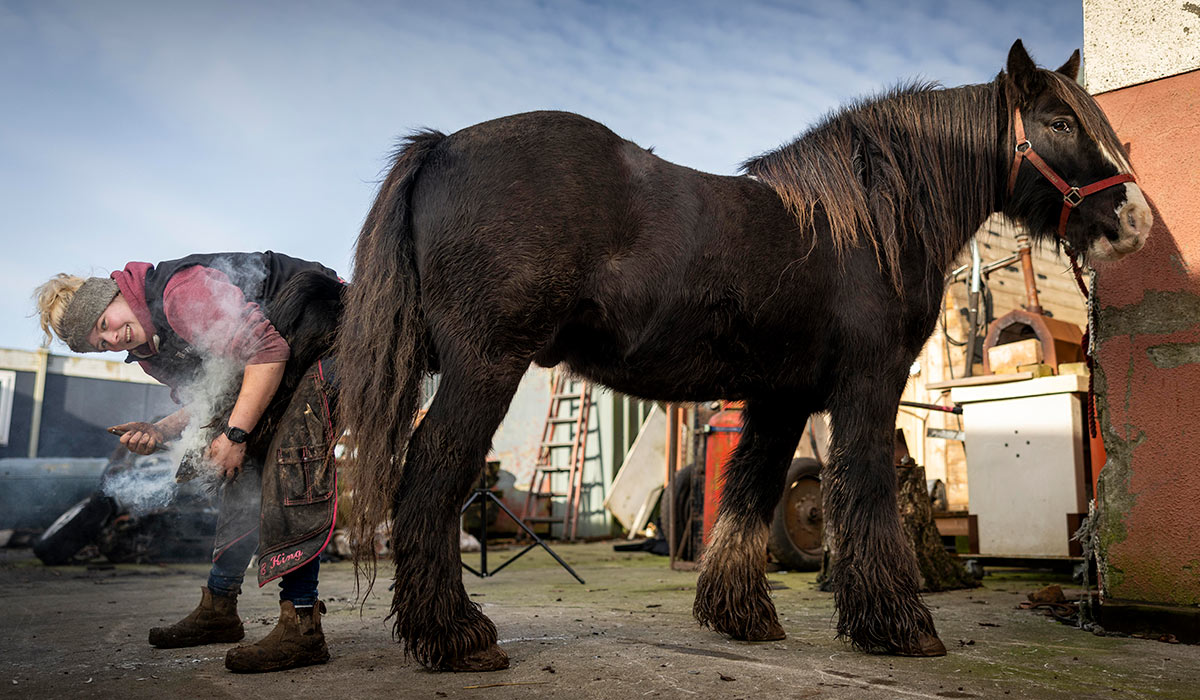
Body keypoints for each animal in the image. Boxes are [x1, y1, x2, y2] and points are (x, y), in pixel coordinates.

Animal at [333, 39, 1152, 671]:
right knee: (428, 481)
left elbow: (749, 498)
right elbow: (862, 496)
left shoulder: (780, 399)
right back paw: (457, 636)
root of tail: (442, 146)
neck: (869, 224)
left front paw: (741, 615)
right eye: (1057, 121)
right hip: (485, 366)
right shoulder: (868, 387)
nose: (1136, 221)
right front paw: (898, 625)